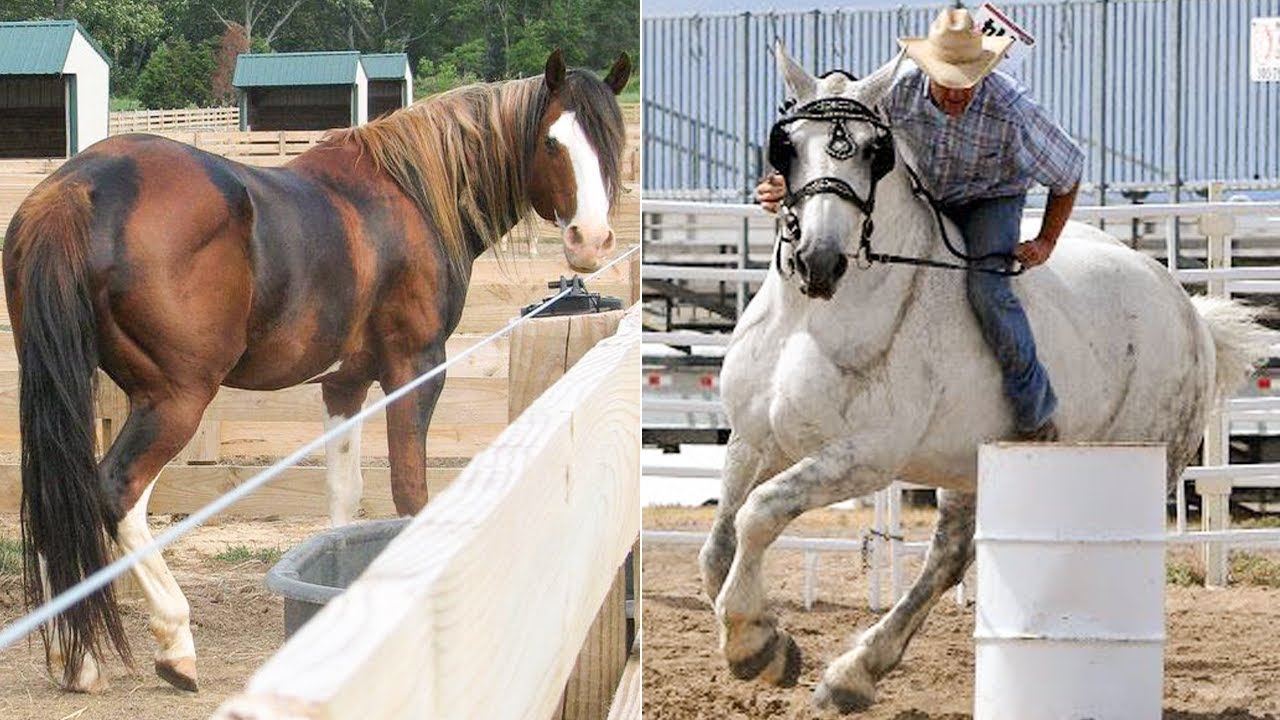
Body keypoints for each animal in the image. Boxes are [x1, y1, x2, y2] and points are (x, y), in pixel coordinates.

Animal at [4, 48, 630, 694]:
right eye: (553, 142)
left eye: (613, 142)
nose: (591, 240)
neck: (411, 196)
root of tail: (77, 190)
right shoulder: (416, 367)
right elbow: (410, 490)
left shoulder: (344, 383)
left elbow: (344, 494)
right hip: (174, 399)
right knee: (117, 489)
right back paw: (174, 645)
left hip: (66, 383)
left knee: (58, 489)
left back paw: (77, 659)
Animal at [698, 43, 1271, 713]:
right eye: (787, 146)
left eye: (871, 150)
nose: (819, 260)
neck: (809, 319)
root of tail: (1190, 314)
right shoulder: (753, 439)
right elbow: (718, 544)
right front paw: (775, 647)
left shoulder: (863, 458)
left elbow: (759, 513)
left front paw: (752, 644)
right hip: (968, 467)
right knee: (948, 557)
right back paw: (854, 675)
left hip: (1141, 460)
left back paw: (854, 671)